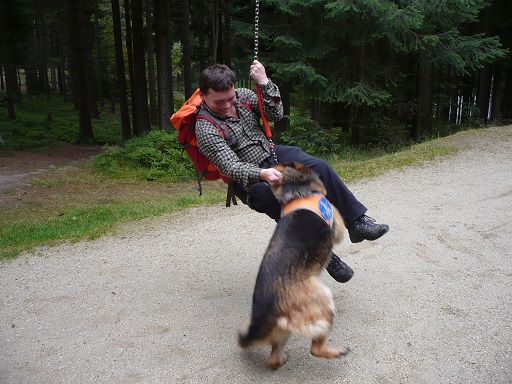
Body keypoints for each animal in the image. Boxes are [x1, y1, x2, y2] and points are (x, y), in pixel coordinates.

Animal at [239, 160, 350, 368]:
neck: (296, 190)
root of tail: (268, 307)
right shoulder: (337, 224)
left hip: (284, 331)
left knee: (273, 359)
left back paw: (281, 359)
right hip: (323, 302)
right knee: (315, 349)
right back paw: (337, 351)